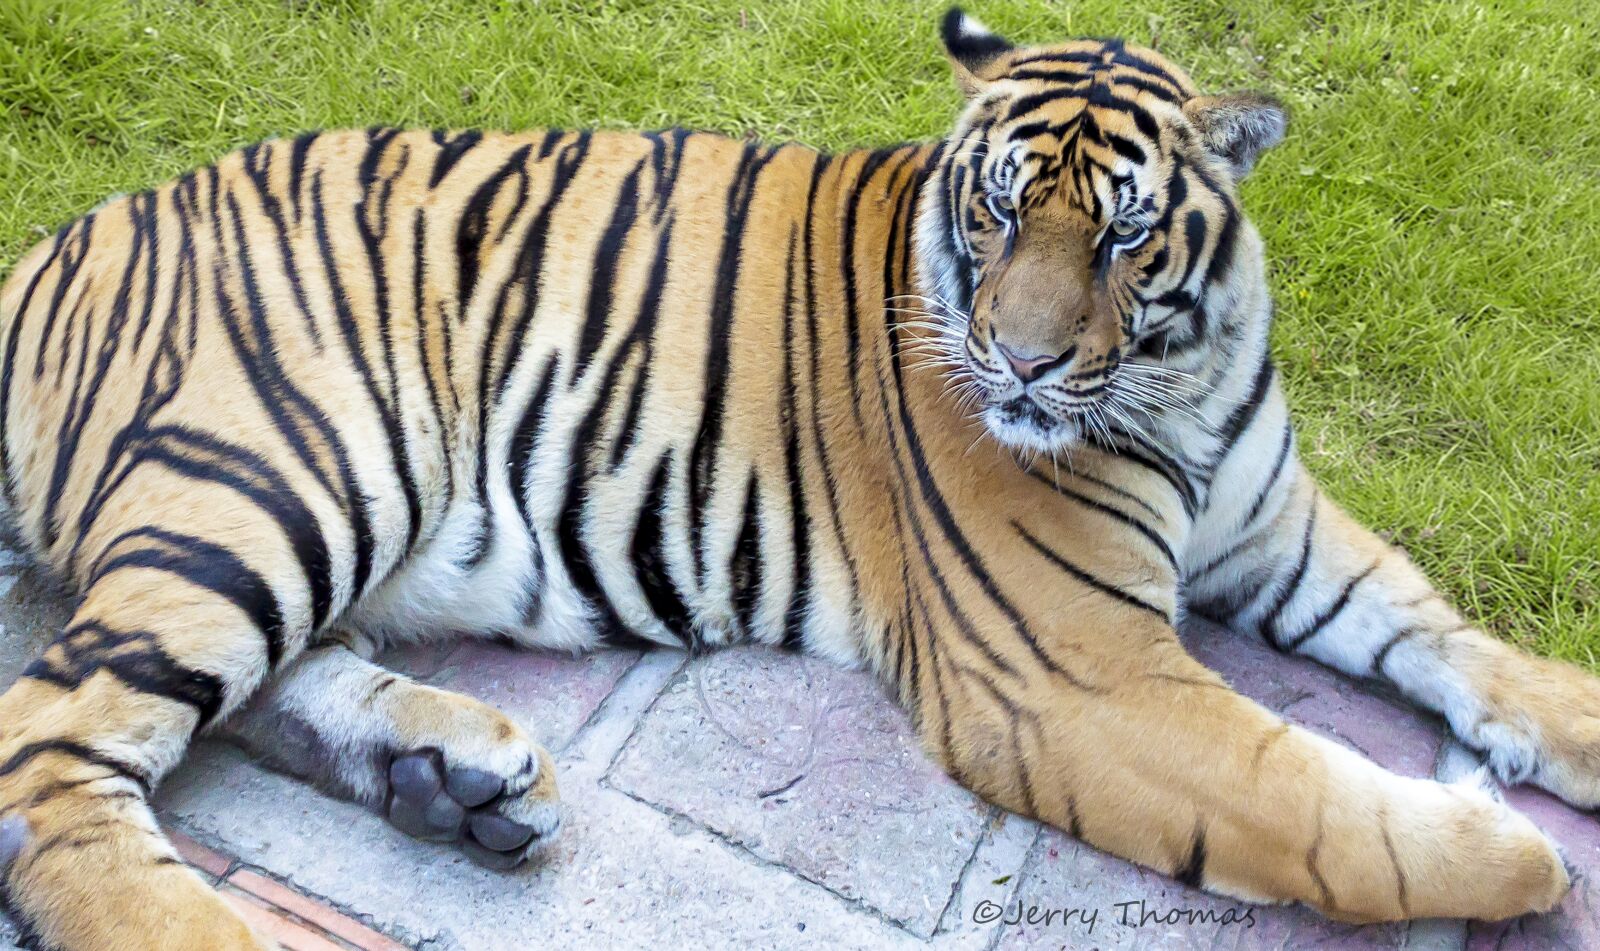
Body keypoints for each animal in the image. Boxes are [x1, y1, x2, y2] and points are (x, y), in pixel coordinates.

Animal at [0, 6, 1594, 948]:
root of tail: (59, 239)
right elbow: (1319, 798)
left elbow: (1443, 630)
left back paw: (451, 779)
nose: (1020, 367)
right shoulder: (1075, 674)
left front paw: (1564, 719)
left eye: (1126, 235)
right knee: (53, 742)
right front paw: (1516, 854)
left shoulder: (1279, 528)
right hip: (284, 472)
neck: (1177, 376)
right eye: (997, 211)